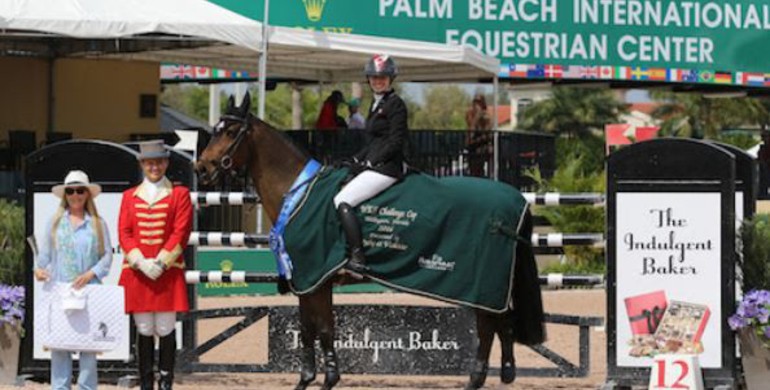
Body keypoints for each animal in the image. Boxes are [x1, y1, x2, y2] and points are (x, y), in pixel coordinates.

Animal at [198, 94, 544, 390]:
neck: (299, 193)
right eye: (216, 130)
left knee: (490, 326)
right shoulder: (309, 281)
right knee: (499, 324)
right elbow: (309, 329)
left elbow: (324, 329)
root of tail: (514, 198)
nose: (202, 167)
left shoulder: (315, 278)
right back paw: (495, 375)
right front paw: (307, 379)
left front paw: (328, 380)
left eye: (231, 132)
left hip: (482, 283)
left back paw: (477, 379)